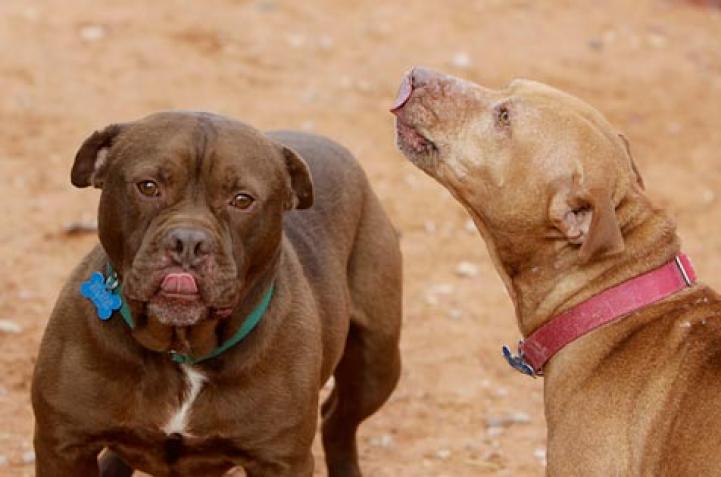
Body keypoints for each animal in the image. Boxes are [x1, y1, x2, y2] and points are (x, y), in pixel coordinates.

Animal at [31, 112, 402, 476]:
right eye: (148, 186)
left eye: (242, 200)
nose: (188, 241)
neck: (181, 350)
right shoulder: (63, 447)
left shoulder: (281, 461)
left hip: (376, 365)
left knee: (339, 421)